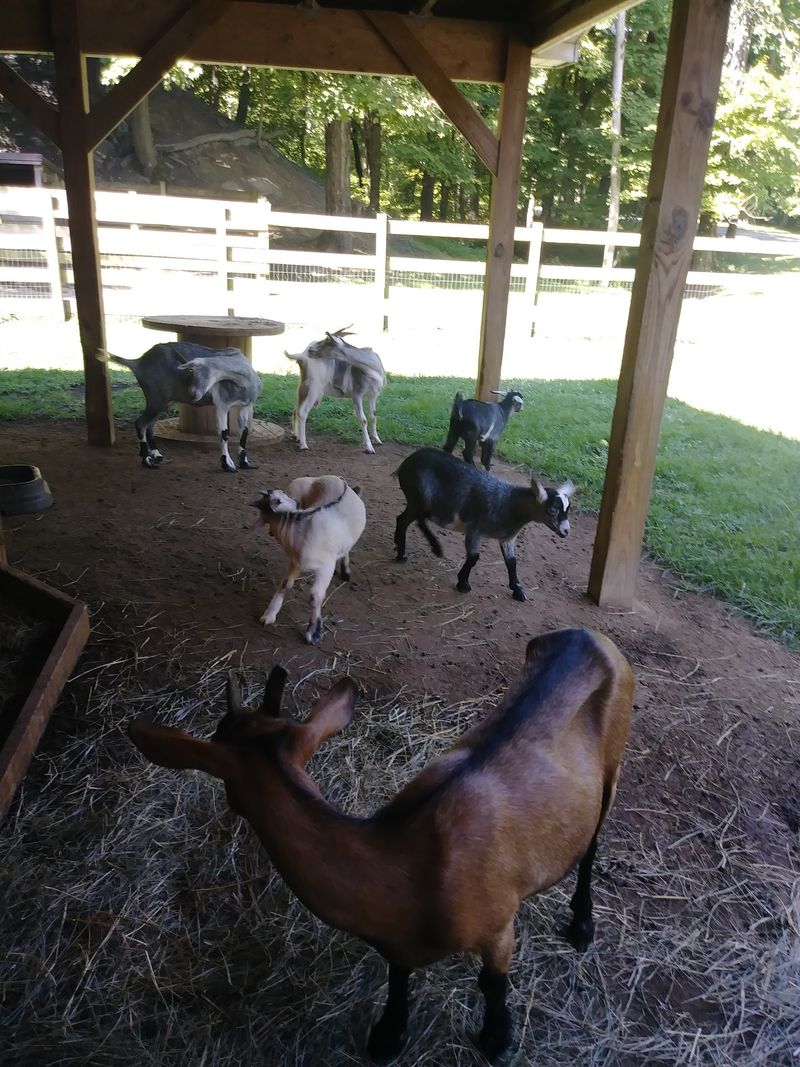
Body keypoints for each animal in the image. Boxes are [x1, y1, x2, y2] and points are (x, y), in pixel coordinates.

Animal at [97, 342, 261, 471]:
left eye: (195, 373)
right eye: (189, 373)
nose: (192, 395)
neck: (243, 381)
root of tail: (137, 363)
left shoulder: (246, 406)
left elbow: (245, 431)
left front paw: (245, 462)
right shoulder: (222, 404)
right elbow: (224, 433)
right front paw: (227, 465)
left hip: (162, 401)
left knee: (150, 424)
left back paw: (156, 455)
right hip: (156, 398)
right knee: (141, 423)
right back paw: (146, 460)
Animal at [128, 626, 634, 1061]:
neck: (410, 864)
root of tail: (588, 633)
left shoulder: (497, 924)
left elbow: (492, 984)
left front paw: (496, 1040)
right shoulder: (397, 939)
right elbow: (398, 975)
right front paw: (389, 1037)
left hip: (613, 765)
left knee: (592, 842)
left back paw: (581, 926)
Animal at [251, 475, 366, 644]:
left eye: (280, 496)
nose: (296, 502)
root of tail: (336, 478)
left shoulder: (326, 567)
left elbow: (315, 596)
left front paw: (314, 632)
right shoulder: (296, 561)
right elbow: (285, 584)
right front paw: (269, 615)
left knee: (346, 549)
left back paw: (346, 571)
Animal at [394, 447, 574, 601]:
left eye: (567, 509)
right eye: (552, 510)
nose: (566, 531)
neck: (510, 504)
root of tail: (408, 461)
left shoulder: (507, 538)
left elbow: (512, 562)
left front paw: (517, 591)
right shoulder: (475, 529)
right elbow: (474, 557)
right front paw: (463, 584)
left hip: (417, 502)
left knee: (403, 519)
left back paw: (401, 551)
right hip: (420, 498)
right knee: (415, 519)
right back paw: (432, 548)